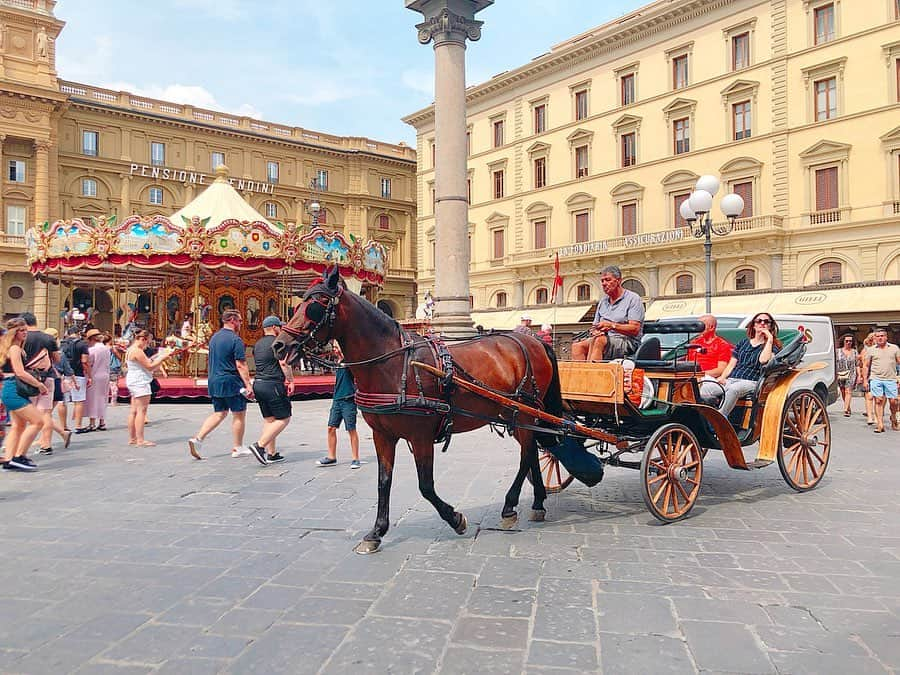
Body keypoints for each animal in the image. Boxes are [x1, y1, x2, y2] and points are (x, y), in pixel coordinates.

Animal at [272, 266, 564, 556]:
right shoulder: (382, 435)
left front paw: (455, 518)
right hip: (514, 414)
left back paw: (509, 506)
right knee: (533, 450)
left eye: (317, 304)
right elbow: (384, 481)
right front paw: (376, 532)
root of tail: (533, 340)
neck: (392, 363)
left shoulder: (421, 436)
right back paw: (538, 502)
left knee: (527, 454)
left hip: (525, 412)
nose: (279, 345)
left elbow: (425, 485)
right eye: (299, 302)